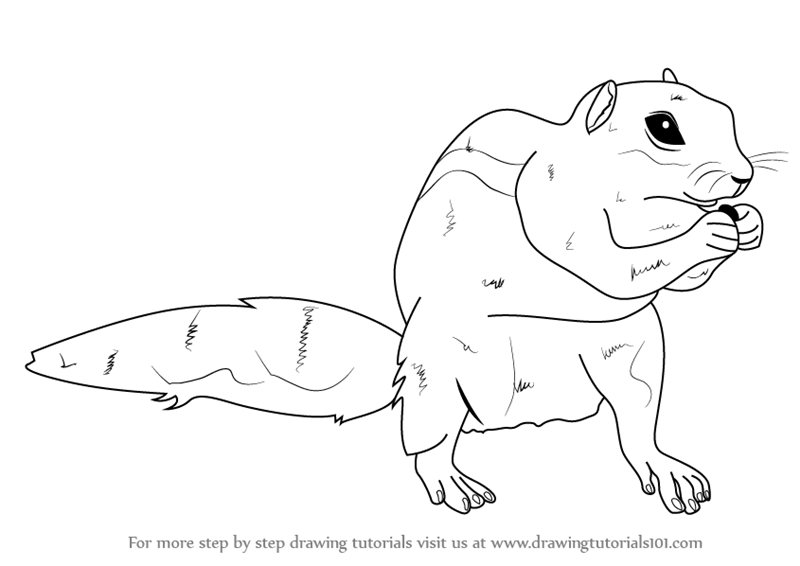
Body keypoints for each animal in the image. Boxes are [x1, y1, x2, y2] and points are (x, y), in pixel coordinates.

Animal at [26, 68, 765, 515]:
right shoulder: (554, 210)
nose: (744, 177)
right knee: (428, 445)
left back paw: (665, 468)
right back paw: (451, 482)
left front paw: (744, 225)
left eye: (728, 112)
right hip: (443, 383)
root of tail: (521, 415)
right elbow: (604, 261)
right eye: (663, 128)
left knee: (635, 426)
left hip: (634, 364)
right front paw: (705, 233)